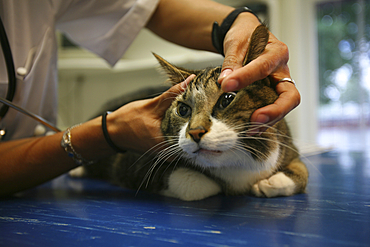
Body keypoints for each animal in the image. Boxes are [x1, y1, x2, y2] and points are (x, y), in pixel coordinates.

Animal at [71, 25, 308, 201]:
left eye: (227, 99)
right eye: (183, 109)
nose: (195, 132)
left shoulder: (285, 141)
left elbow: (302, 169)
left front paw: (272, 181)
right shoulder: (135, 164)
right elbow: (196, 185)